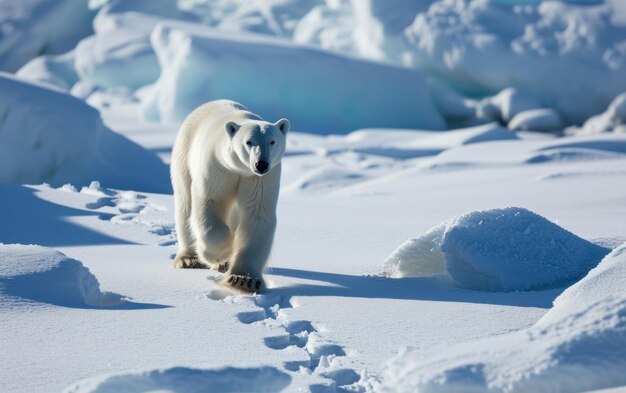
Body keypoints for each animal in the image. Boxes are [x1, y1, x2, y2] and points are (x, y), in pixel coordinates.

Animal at [169, 99, 288, 292]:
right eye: (249, 142)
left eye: (272, 141)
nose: (261, 164)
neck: (239, 169)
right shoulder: (218, 168)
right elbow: (210, 202)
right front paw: (224, 250)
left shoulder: (260, 179)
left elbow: (257, 214)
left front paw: (244, 279)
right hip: (184, 155)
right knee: (185, 205)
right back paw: (189, 259)